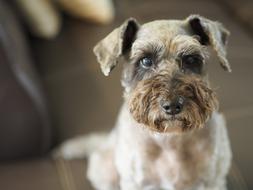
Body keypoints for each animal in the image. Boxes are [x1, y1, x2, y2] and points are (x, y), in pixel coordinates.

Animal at [56, 14, 232, 190]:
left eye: (190, 59)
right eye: (146, 61)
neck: (169, 140)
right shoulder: (136, 183)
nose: (172, 106)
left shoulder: (213, 181)